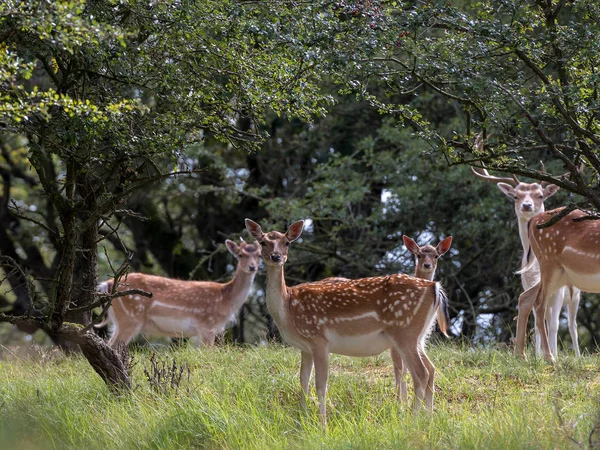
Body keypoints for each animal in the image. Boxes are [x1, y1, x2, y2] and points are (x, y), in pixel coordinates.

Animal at [96, 239, 260, 348]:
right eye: (240, 255)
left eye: (259, 255)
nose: (252, 267)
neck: (226, 299)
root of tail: (107, 284)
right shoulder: (207, 324)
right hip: (130, 318)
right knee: (112, 346)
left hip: (119, 320)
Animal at [245, 218, 450, 426]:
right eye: (263, 242)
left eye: (287, 242)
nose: (276, 257)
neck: (287, 309)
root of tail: (434, 286)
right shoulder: (305, 347)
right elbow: (303, 382)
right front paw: (301, 420)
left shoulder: (319, 339)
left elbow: (321, 385)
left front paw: (323, 425)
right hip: (418, 336)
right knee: (430, 368)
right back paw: (427, 418)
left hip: (404, 332)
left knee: (421, 373)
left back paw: (412, 421)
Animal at [472, 132, 580, 356]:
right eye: (516, 195)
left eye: (540, 195)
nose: (527, 205)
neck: (535, 271)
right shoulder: (528, 285)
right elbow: (537, 321)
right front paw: (538, 354)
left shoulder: (558, 292)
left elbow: (554, 325)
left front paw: (552, 354)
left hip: (575, 294)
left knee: (573, 325)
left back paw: (576, 354)